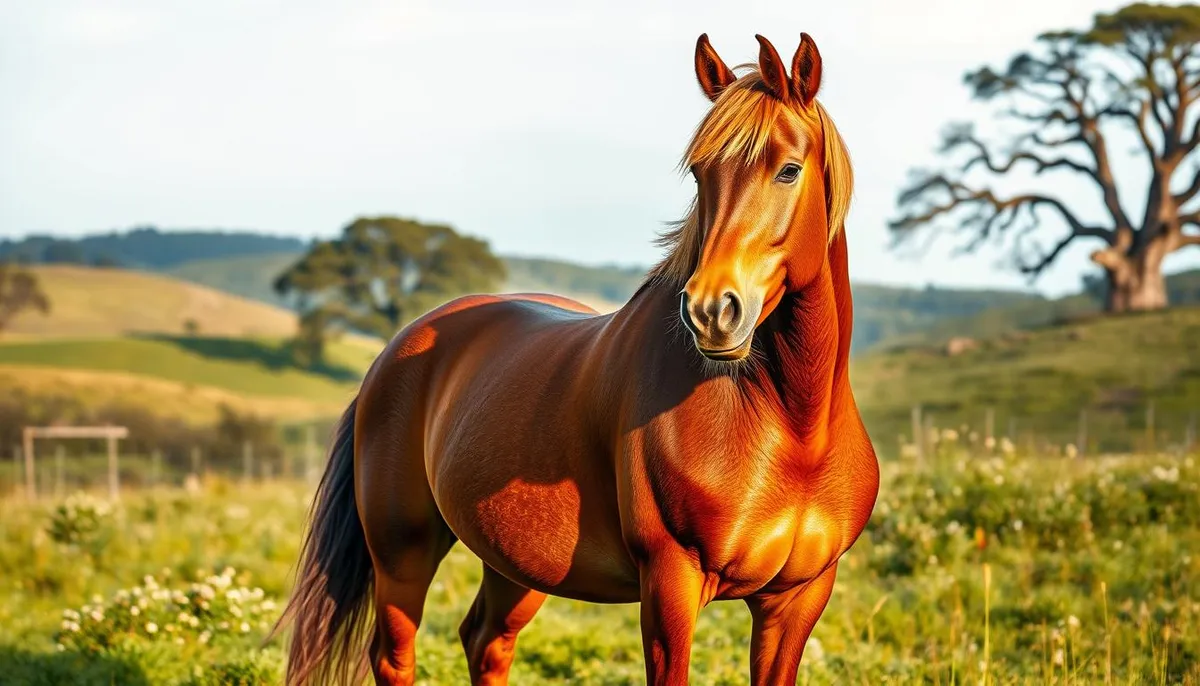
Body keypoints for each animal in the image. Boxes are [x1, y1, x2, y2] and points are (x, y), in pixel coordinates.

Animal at [275, 32, 880, 686]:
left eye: (789, 170)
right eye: (700, 174)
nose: (711, 311)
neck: (792, 430)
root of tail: (396, 350)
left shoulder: (796, 600)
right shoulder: (670, 584)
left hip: (516, 565)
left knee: (485, 641)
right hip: (402, 551)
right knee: (396, 659)